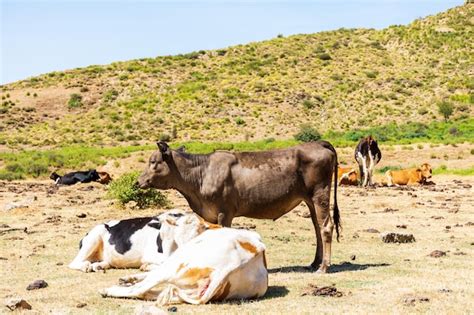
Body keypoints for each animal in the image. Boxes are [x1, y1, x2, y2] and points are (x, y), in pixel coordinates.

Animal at [67, 209, 214, 272]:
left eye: (198, 238)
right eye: (177, 238)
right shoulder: (150, 254)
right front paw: (147, 266)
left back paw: (98, 266)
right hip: (94, 236)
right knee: (74, 262)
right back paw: (86, 266)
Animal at [137, 142, 340, 272]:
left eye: (153, 161)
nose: (138, 181)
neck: (202, 173)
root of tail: (319, 143)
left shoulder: (224, 212)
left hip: (320, 193)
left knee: (326, 226)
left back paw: (323, 267)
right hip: (309, 200)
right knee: (317, 227)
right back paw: (314, 263)